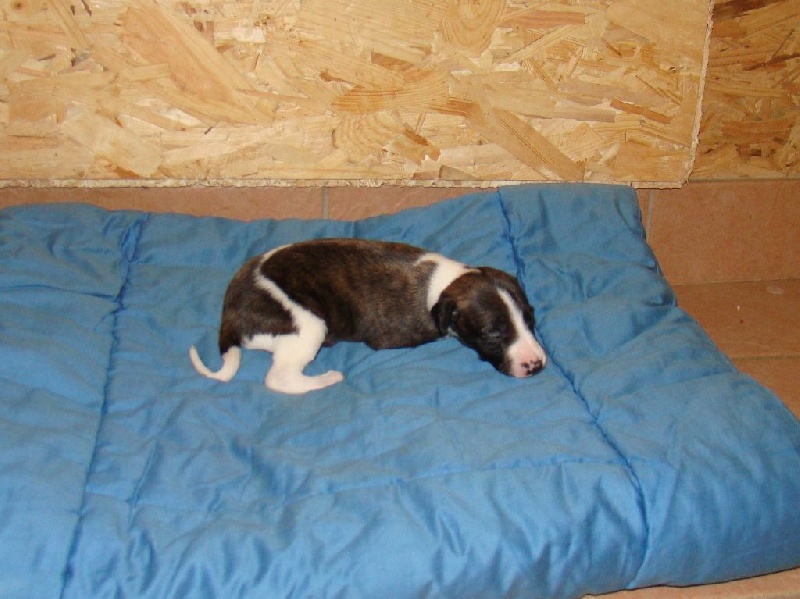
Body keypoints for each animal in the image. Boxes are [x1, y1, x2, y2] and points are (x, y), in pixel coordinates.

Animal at [190, 239, 547, 394]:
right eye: (492, 334)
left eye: (531, 321)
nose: (537, 365)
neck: (447, 283)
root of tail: (229, 316)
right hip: (308, 325)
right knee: (279, 378)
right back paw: (325, 379)